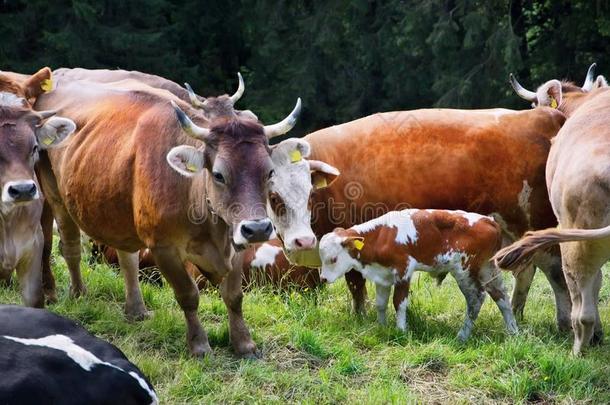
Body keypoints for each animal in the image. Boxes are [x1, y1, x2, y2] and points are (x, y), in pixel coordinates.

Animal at [320, 210, 516, 340]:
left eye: (333, 259)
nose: (323, 278)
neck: (382, 236)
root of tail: (489, 220)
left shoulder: (404, 269)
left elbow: (399, 302)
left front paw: (401, 331)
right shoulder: (382, 276)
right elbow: (381, 304)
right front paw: (382, 326)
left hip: (464, 270)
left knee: (476, 299)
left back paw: (462, 336)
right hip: (487, 269)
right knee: (502, 297)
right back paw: (514, 332)